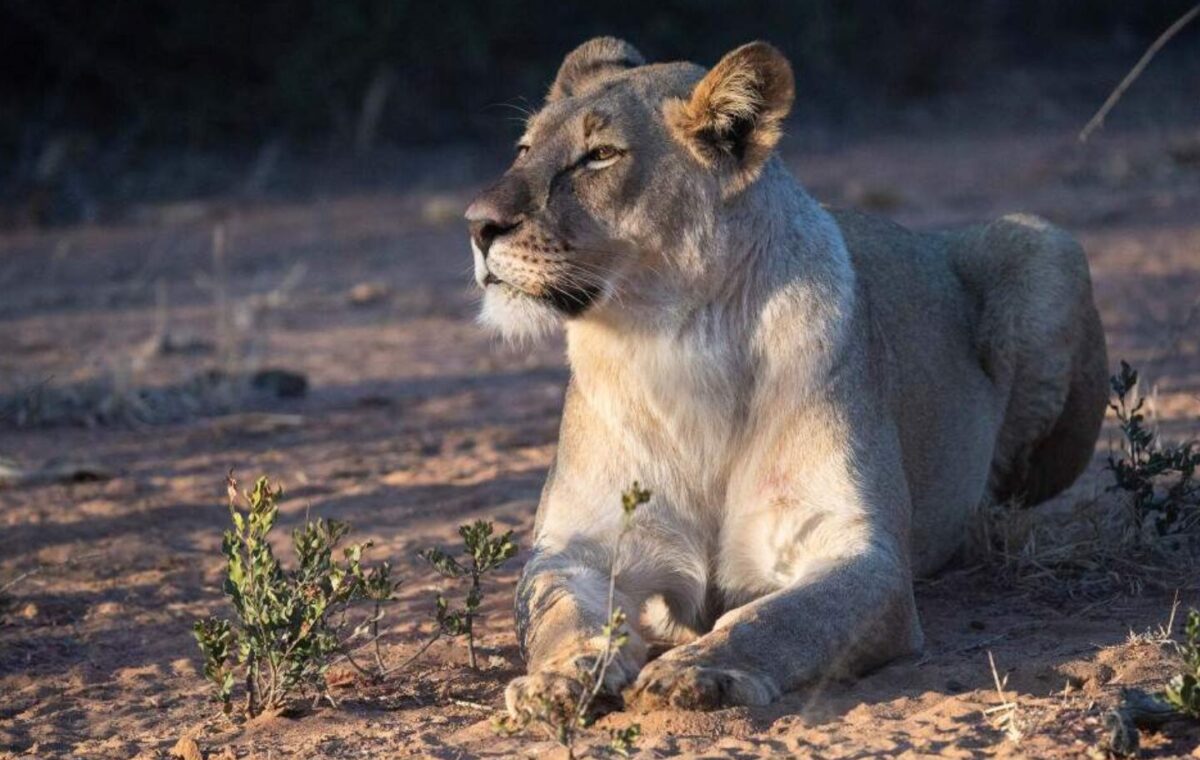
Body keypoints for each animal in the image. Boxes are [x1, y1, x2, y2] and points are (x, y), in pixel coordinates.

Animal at [464, 38, 1108, 713]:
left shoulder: (860, 551)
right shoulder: (572, 548)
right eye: (524, 149)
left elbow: (776, 619)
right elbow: (558, 614)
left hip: (1043, 241)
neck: (676, 341)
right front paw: (556, 680)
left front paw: (694, 670)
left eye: (600, 155)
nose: (477, 224)